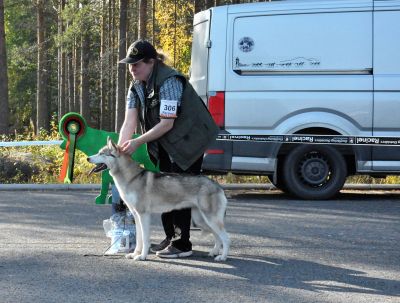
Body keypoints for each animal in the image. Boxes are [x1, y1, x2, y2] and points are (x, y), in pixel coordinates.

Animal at [88, 138, 230, 262]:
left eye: (101, 153)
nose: (88, 158)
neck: (132, 178)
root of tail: (218, 186)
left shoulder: (144, 215)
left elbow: (145, 239)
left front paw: (142, 257)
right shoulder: (136, 215)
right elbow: (139, 239)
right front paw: (135, 254)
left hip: (209, 220)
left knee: (226, 238)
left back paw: (222, 257)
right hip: (201, 221)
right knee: (217, 237)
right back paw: (214, 252)